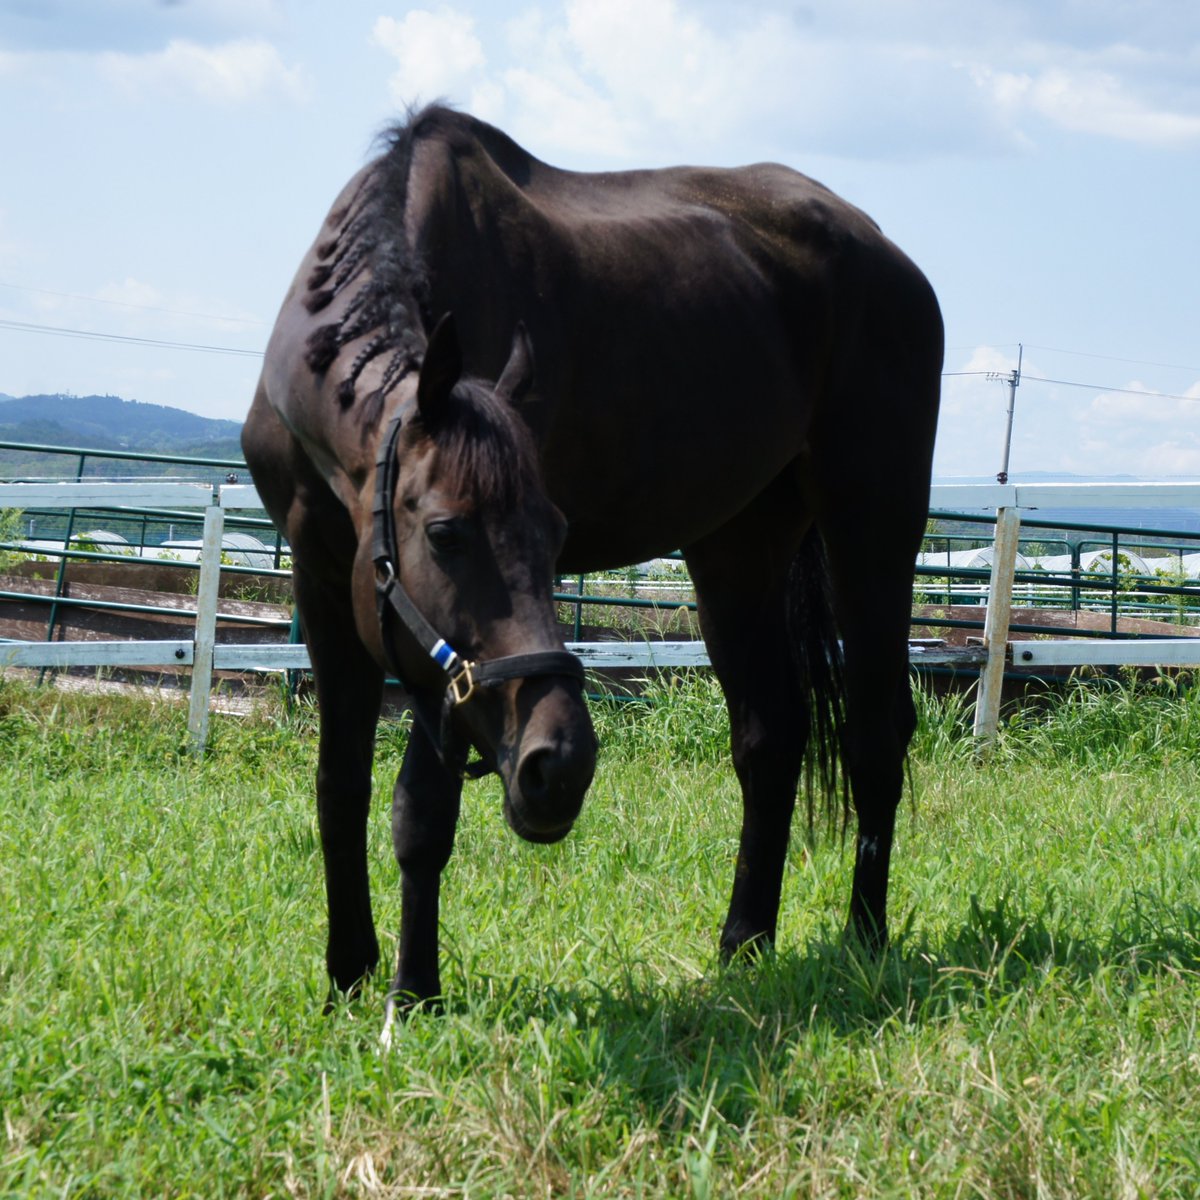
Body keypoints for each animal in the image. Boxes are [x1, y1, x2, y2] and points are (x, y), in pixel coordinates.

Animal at [242, 104, 943, 1018]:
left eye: (556, 532)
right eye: (445, 533)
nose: (563, 765)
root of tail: (891, 258)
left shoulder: (437, 672)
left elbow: (421, 815)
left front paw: (413, 991)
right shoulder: (328, 583)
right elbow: (339, 791)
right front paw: (348, 975)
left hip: (874, 526)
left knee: (873, 735)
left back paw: (864, 939)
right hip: (739, 549)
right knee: (771, 736)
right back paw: (744, 942)